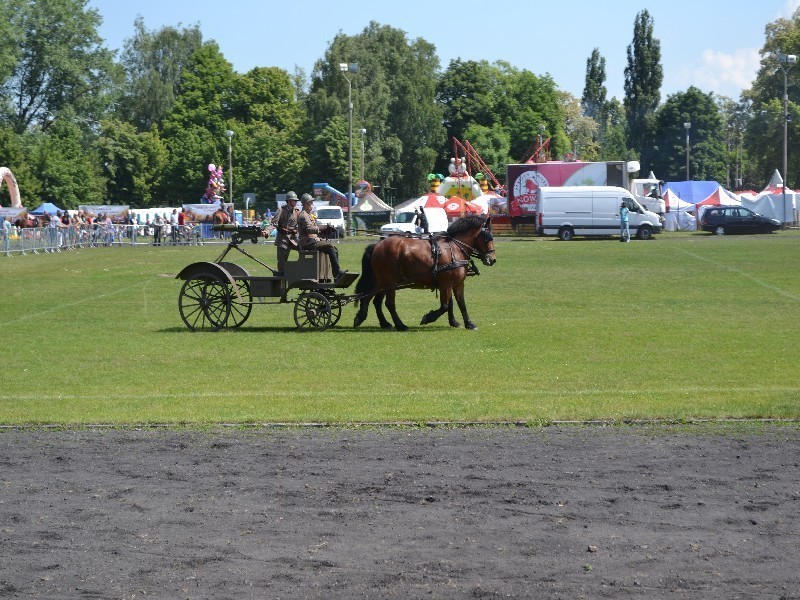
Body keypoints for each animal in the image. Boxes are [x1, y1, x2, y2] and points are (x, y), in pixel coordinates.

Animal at [354, 214, 494, 330]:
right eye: (488, 238)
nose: (492, 259)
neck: (454, 249)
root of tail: (377, 245)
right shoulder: (446, 283)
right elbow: (445, 305)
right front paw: (428, 318)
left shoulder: (457, 284)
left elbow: (460, 303)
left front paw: (466, 323)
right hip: (390, 281)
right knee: (389, 303)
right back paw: (400, 325)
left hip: (381, 280)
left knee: (371, 298)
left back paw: (370, 319)